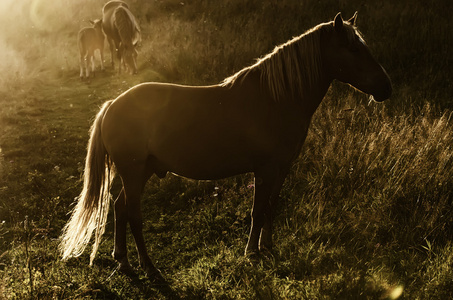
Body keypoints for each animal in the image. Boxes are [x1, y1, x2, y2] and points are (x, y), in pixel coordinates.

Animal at [61, 11, 392, 282]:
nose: (386, 88)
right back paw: (148, 267)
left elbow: (271, 207)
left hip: (141, 171)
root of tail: (112, 105)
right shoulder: (265, 169)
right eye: (353, 49)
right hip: (133, 172)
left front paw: (268, 247)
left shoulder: (282, 168)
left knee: (119, 208)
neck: (276, 98)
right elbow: (258, 211)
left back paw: (124, 262)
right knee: (132, 214)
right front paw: (252, 253)